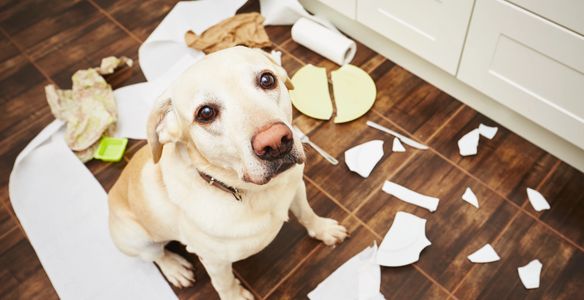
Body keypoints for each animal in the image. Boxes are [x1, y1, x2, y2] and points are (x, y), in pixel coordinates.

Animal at [107, 45, 346, 298]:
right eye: (206, 113)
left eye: (267, 79)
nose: (275, 142)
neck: (253, 192)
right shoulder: (215, 261)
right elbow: (224, 283)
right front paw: (235, 295)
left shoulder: (296, 190)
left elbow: (307, 213)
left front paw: (323, 229)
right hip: (139, 240)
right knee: (156, 256)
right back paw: (175, 268)